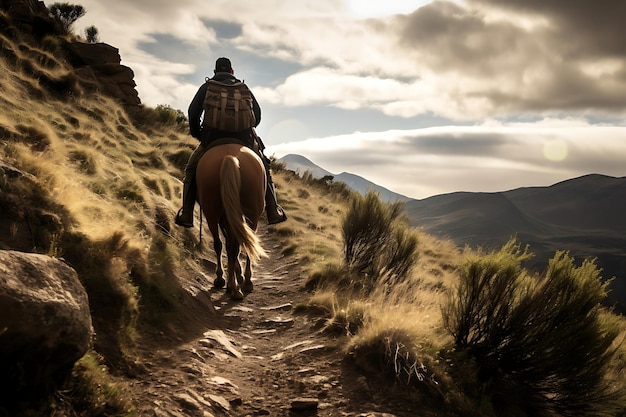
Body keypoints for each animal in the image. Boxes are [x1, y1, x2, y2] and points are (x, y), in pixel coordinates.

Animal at [196, 143, 266, 300]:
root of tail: (229, 157)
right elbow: (234, 245)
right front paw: (240, 277)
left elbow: (228, 245)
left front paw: (232, 278)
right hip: (251, 216)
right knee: (240, 245)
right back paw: (242, 285)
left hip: (212, 214)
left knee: (219, 244)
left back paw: (224, 281)